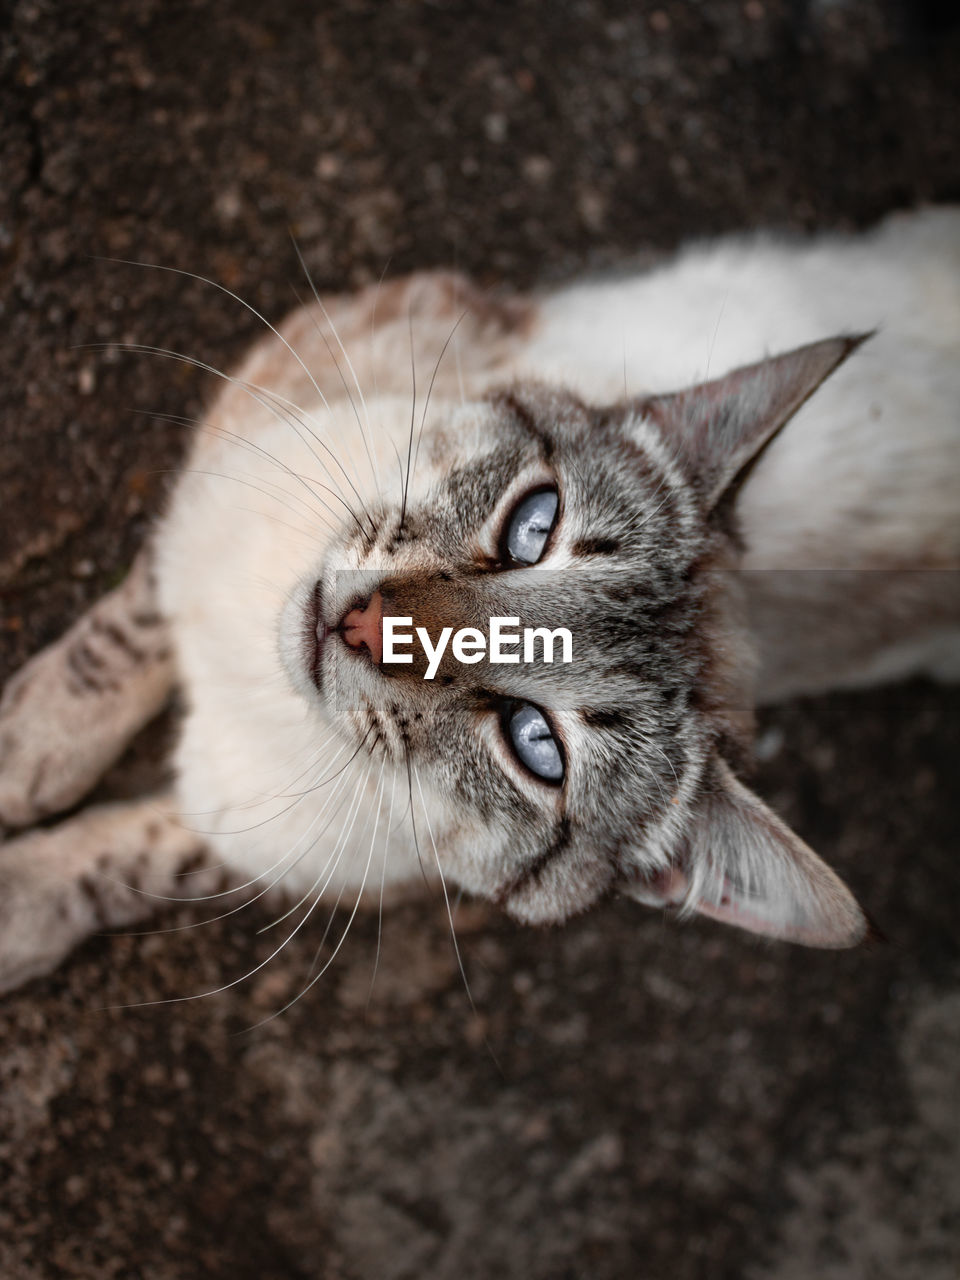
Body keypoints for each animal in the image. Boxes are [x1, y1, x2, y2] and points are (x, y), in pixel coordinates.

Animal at [0, 207, 957, 988]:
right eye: (536, 525)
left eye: (536, 745)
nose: (359, 625)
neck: (252, 679)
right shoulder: (234, 440)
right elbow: (129, 628)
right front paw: (28, 746)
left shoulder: (296, 852)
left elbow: (144, 857)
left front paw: (20, 900)